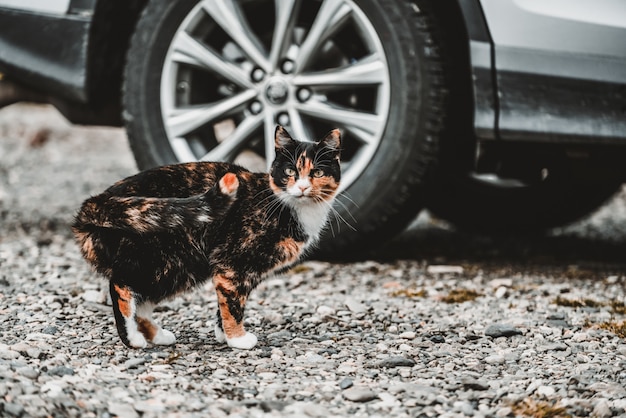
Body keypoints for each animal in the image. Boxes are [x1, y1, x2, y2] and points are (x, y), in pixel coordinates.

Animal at [73, 126, 342, 350]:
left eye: (318, 171)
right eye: (289, 171)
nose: (303, 187)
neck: (285, 204)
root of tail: (98, 201)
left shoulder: (243, 274)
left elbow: (229, 303)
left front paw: (224, 334)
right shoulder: (233, 265)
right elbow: (233, 305)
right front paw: (238, 339)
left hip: (178, 267)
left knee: (143, 300)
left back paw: (158, 335)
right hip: (164, 259)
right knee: (120, 286)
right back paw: (133, 339)